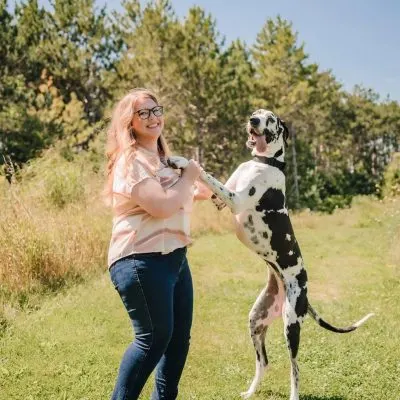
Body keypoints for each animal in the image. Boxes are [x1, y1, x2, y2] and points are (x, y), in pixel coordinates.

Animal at [167, 108, 374, 400]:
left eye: (271, 119)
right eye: (256, 113)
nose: (252, 120)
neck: (264, 162)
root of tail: (303, 292)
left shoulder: (236, 199)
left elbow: (206, 175)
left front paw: (181, 160)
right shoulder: (220, 200)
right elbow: (206, 184)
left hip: (291, 326)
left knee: (295, 369)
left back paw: (293, 394)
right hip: (256, 320)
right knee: (263, 362)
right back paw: (250, 392)